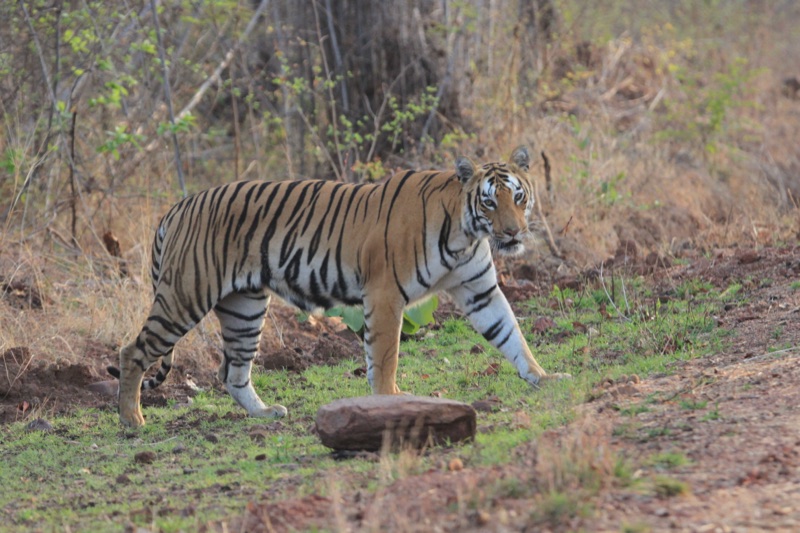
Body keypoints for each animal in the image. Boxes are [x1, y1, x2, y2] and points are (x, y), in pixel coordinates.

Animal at [110, 146, 570, 427]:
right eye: (489, 202)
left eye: (518, 197)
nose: (513, 233)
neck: (466, 233)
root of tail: (178, 206)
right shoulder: (384, 296)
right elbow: (384, 357)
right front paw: (391, 400)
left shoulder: (479, 291)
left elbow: (511, 334)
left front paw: (543, 377)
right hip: (185, 295)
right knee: (133, 351)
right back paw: (132, 419)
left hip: (244, 307)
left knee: (232, 371)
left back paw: (265, 413)